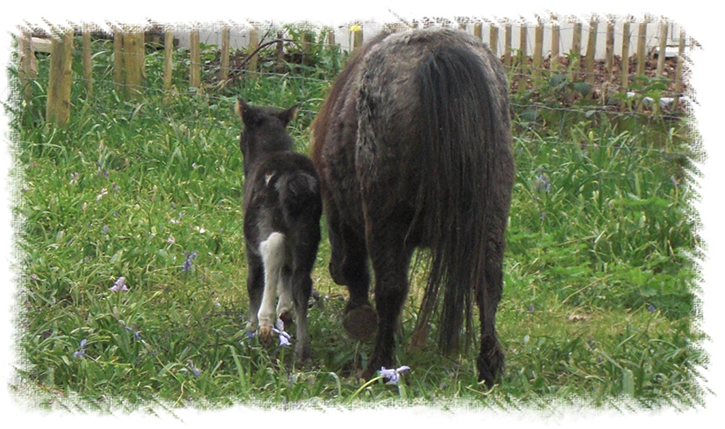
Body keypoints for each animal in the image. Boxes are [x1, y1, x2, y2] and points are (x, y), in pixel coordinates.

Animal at [236, 98, 322, 362]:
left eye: (242, 137)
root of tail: (292, 178)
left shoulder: (249, 242)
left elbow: (254, 281)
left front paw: (250, 326)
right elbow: (288, 271)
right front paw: (284, 311)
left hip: (260, 222)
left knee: (273, 248)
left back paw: (265, 325)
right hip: (309, 231)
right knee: (302, 279)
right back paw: (302, 350)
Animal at [311, 27, 515, 386]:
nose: (334, 271)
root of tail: (441, 54)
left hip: (385, 220)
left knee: (390, 287)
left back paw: (379, 367)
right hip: (491, 217)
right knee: (488, 284)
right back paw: (488, 370)